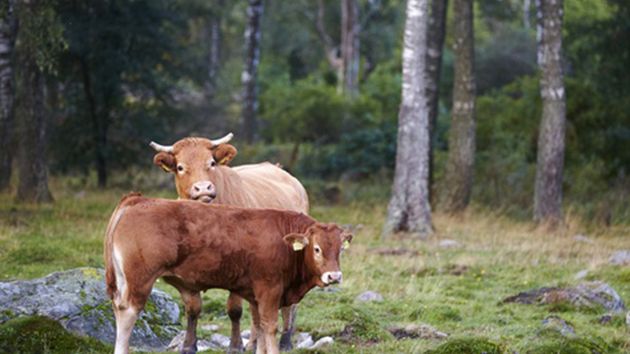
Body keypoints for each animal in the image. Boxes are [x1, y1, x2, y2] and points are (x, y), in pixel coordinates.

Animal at [103, 194, 350, 354]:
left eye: (340, 249)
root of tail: (136, 200)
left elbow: (259, 328)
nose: (334, 276)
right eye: (316, 249)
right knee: (128, 313)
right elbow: (270, 327)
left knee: (118, 307)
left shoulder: (254, 295)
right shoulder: (269, 290)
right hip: (140, 280)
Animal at [151, 133, 314, 352]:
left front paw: (236, 345)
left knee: (289, 305)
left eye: (211, 163)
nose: (203, 188)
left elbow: (234, 309)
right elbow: (193, 308)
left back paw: (285, 340)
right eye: (180, 167)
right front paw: (188, 346)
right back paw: (254, 343)